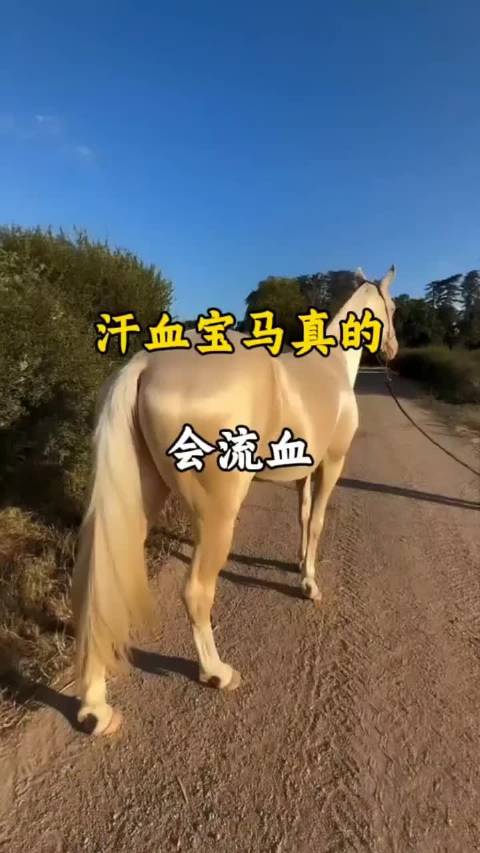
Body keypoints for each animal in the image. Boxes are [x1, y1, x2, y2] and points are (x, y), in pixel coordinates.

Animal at [71, 265, 398, 735]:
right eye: (394, 308)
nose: (392, 351)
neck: (332, 369)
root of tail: (146, 364)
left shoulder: (302, 472)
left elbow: (302, 518)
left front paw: (299, 565)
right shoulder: (331, 465)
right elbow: (317, 521)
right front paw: (310, 585)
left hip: (139, 500)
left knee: (103, 587)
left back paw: (96, 708)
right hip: (217, 514)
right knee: (196, 591)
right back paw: (217, 673)